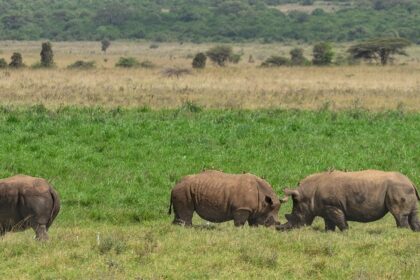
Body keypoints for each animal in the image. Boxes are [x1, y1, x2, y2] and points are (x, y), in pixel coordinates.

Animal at [278, 171, 418, 232]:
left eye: (296, 216)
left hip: (397, 188)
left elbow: (341, 222)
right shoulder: (326, 208)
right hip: (405, 188)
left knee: (399, 215)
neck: (307, 194)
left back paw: (401, 232)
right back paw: (414, 232)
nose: (281, 230)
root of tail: (411, 181)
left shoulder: (333, 206)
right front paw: (328, 233)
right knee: (412, 214)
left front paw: (346, 232)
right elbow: (329, 224)